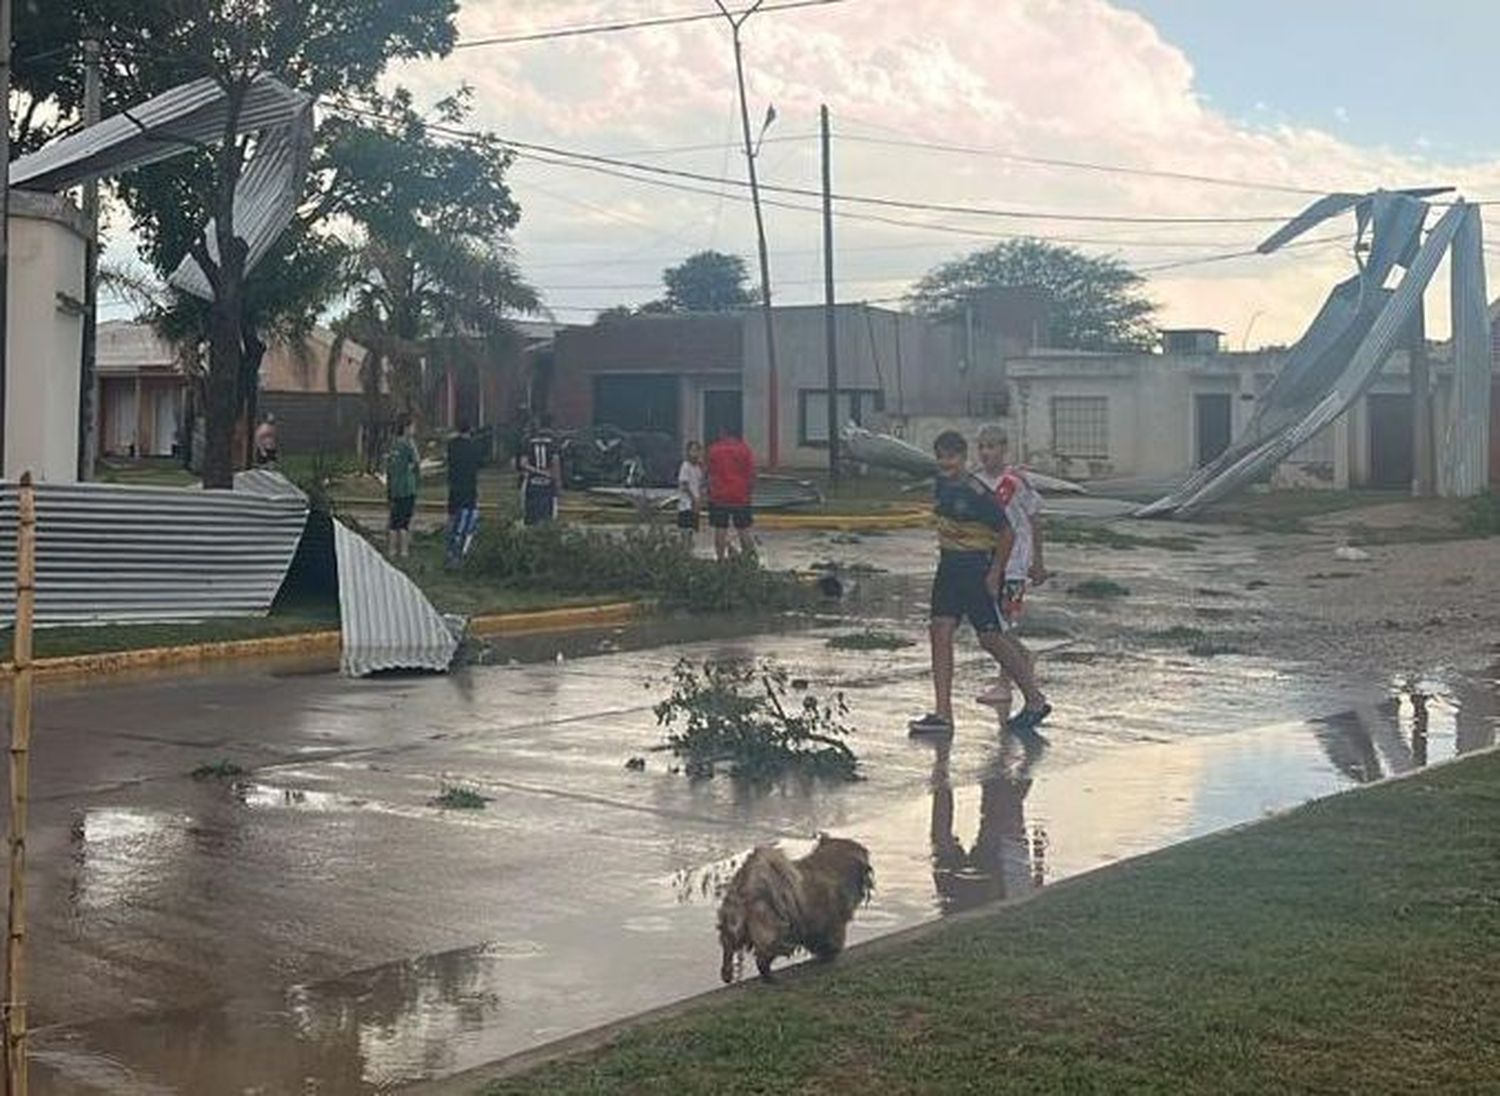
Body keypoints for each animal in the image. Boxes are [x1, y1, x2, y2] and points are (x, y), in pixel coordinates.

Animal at [717, 833, 876, 983]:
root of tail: (745, 891)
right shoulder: (833, 922)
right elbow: (831, 940)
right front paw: (829, 955)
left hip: (734, 930)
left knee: (729, 948)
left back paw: (727, 973)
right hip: (776, 933)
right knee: (762, 958)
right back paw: (771, 978)